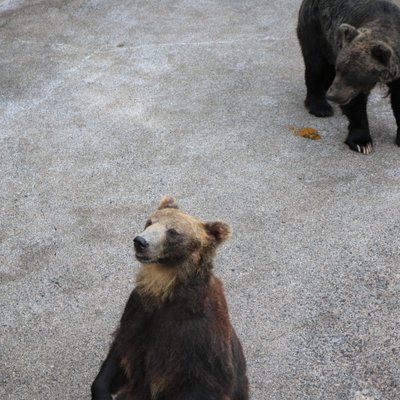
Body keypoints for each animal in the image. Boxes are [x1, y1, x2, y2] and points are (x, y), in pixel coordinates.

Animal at [92, 196, 248, 400]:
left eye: (173, 231)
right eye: (150, 221)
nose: (140, 241)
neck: (165, 289)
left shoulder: (199, 336)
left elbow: (205, 383)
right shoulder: (137, 311)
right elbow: (120, 351)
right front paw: (101, 389)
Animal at [296, 0, 400, 155]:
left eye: (354, 75)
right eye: (340, 68)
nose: (332, 95)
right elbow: (355, 105)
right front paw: (362, 142)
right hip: (316, 30)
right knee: (316, 67)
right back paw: (320, 107)